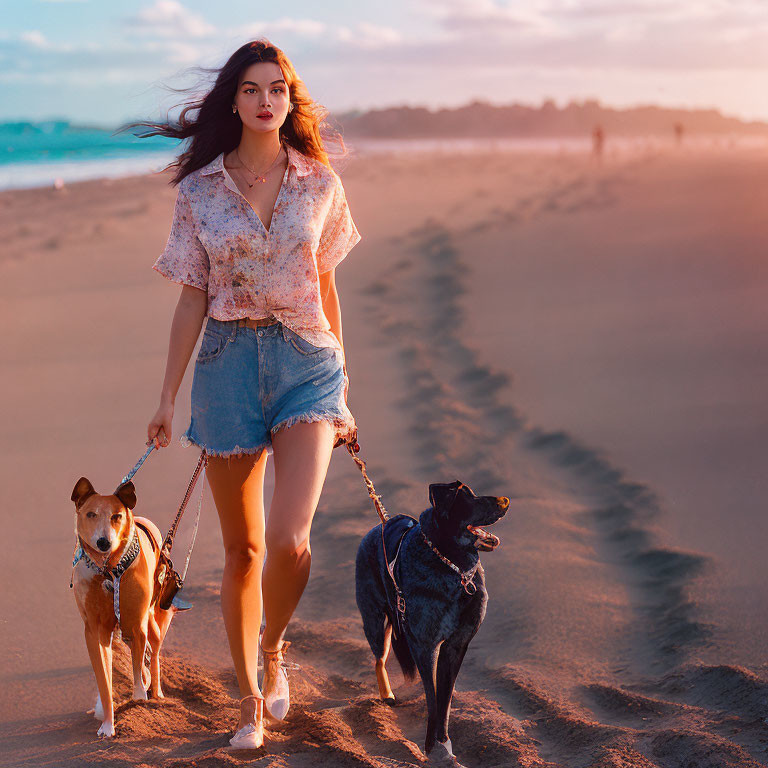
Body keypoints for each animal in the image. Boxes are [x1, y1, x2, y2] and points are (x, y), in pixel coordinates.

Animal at [70, 476, 178, 736]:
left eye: (116, 516)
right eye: (90, 514)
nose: (103, 542)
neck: (106, 571)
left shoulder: (135, 624)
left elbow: (139, 669)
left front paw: (139, 697)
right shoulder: (95, 631)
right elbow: (104, 679)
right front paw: (107, 724)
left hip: (152, 621)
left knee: (154, 654)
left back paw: (157, 692)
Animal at [356, 480, 510, 760]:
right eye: (468, 497)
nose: (505, 500)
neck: (454, 567)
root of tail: (378, 525)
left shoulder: (456, 646)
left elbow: (445, 699)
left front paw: (444, 742)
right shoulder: (424, 646)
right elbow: (432, 696)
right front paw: (431, 747)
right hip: (374, 618)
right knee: (379, 658)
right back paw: (387, 694)